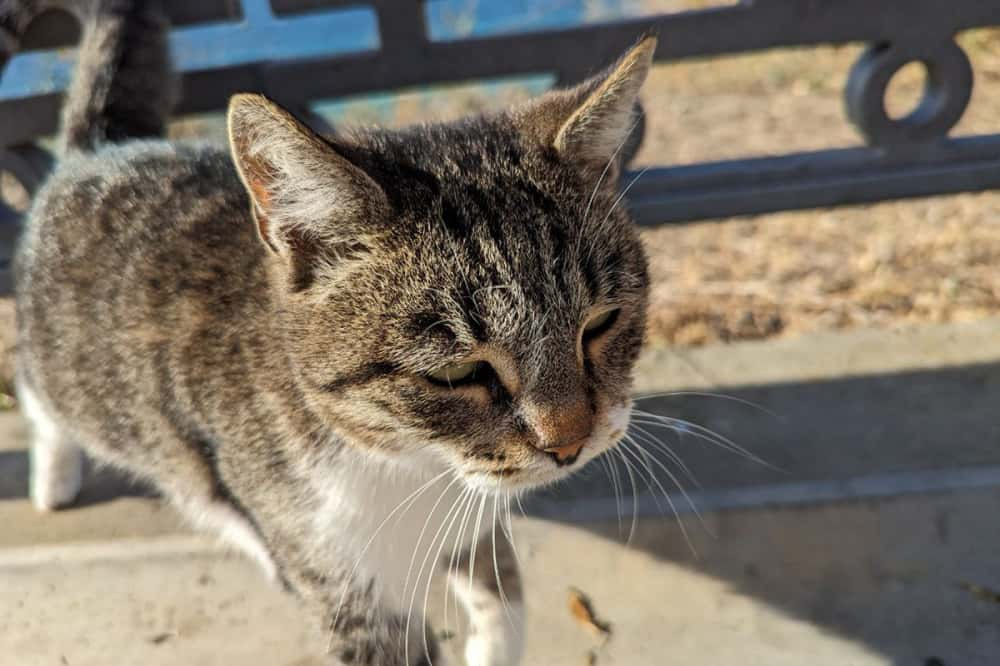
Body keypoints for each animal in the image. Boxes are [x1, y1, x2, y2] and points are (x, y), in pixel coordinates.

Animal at [13, 2, 656, 660]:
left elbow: (499, 588)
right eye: (457, 371)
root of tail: (96, 150)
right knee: (38, 392)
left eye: (600, 323)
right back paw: (53, 476)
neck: (412, 464)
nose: (570, 443)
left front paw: (492, 643)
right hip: (67, 376)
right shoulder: (345, 588)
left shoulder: (466, 519)